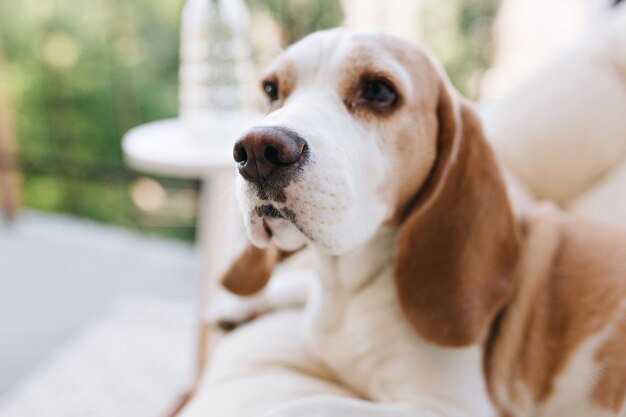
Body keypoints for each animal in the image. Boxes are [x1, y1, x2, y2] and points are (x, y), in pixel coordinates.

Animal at [211, 29, 624, 416]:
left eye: (379, 91)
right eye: (270, 89)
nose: (256, 151)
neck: (347, 288)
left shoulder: (447, 408)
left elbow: (307, 405)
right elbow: (298, 285)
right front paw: (241, 303)